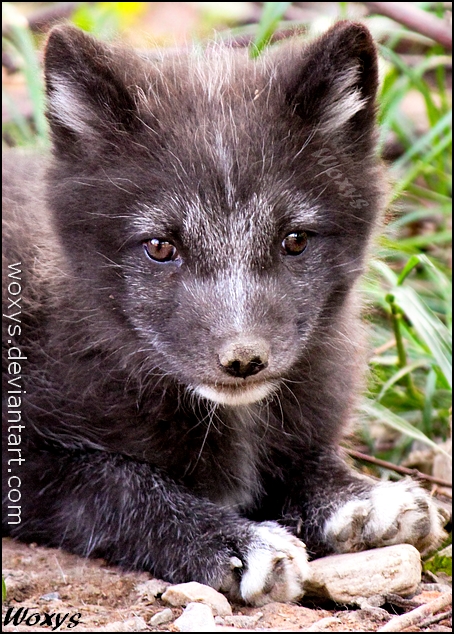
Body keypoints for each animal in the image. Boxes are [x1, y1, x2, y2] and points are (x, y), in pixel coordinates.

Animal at [1, 21, 446, 604]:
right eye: (160, 246)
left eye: (294, 240)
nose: (243, 361)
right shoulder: (27, 457)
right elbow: (114, 480)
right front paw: (233, 542)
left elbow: (306, 456)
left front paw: (362, 497)